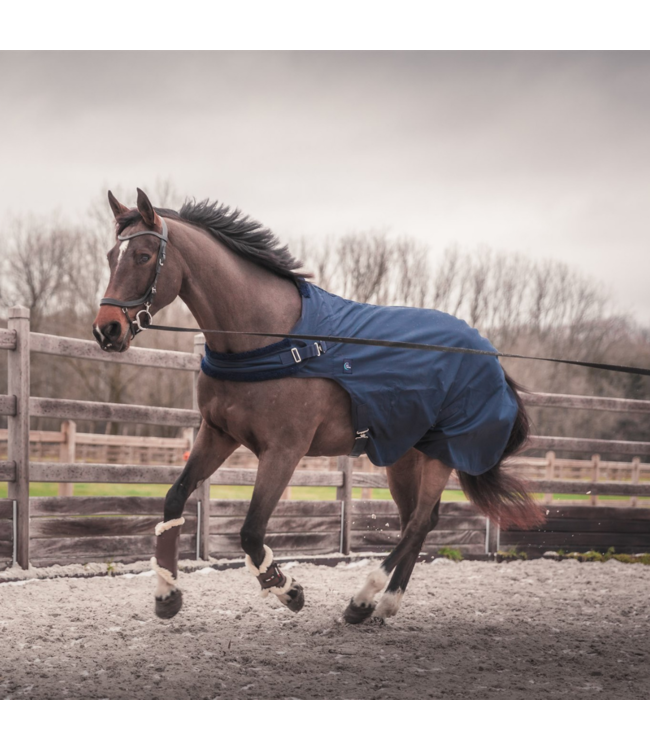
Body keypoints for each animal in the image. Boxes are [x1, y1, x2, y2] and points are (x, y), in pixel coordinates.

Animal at [91, 188, 536, 624]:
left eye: (143, 256)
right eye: (111, 256)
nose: (106, 329)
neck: (271, 339)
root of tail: (491, 356)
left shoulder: (284, 451)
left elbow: (251, 530)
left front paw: (287, 589)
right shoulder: (217, 435)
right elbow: (174, 499)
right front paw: (167, 593)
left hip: (441, 455)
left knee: (417, 523)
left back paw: (364, 598)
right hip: (405, 455)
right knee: (419, 521)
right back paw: (385, 604)